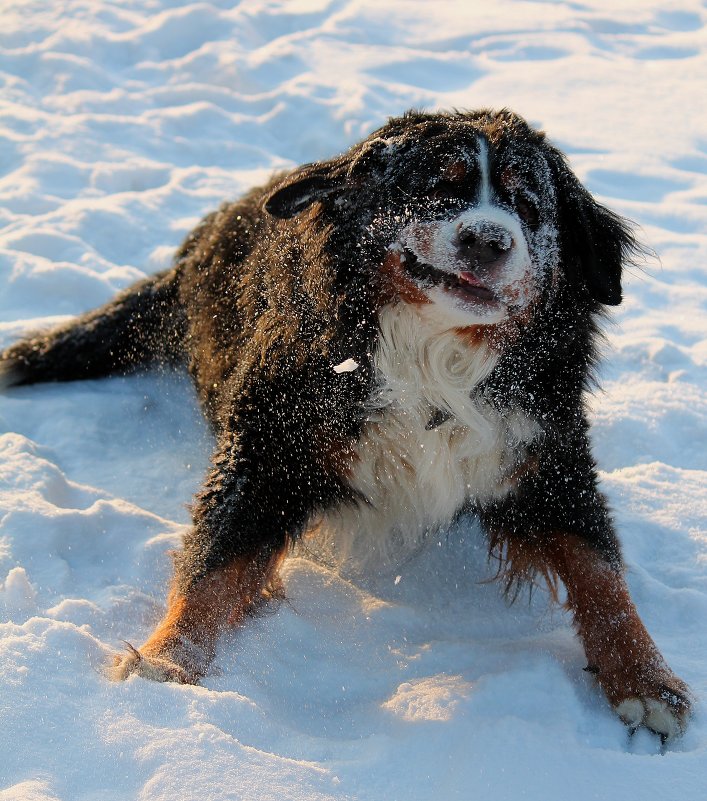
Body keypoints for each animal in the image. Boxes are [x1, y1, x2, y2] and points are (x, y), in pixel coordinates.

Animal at [0, 108, 696, 736]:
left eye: (528, 205)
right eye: (438, 187)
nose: (488, 239)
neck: (434, 359)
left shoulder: (546, 455)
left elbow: (601, 574)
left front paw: (647, 680)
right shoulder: (269, 445)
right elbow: (215, 560)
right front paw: (169, 658)